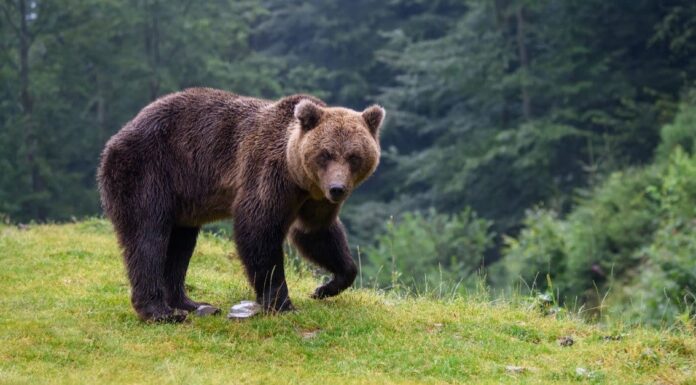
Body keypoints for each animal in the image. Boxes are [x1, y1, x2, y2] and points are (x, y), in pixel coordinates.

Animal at [97, 88, 384, 320]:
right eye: (326, 154)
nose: (337, 189)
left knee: (180, 244)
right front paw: (282, 303)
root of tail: (117, 135)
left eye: (354, 156)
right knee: (148, 237)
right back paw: (160, 311)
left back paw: (189, 303)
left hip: (183, 199)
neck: (298, 176)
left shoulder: (313, 199)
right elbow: (258, 229)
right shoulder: (268, 174)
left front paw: (326, 287)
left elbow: (317, 233)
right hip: (150, 170)